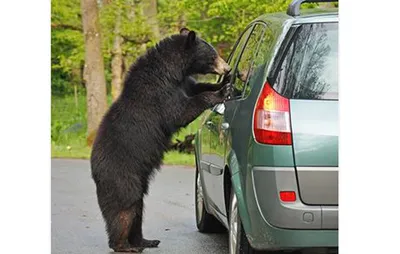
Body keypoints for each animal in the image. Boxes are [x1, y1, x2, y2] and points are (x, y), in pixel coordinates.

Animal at [90, 27, 231, 252]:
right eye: (212, 55)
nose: (227, 68)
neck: (171, 71)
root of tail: (94, 169)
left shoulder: (184, 83)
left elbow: (198, 86)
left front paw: (223, 83)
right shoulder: (159, 94)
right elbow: (180, 111)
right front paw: (221, 91)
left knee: (137, 210)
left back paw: (145, 240)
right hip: (122, 176)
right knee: (125, 208)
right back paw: (124, 245)